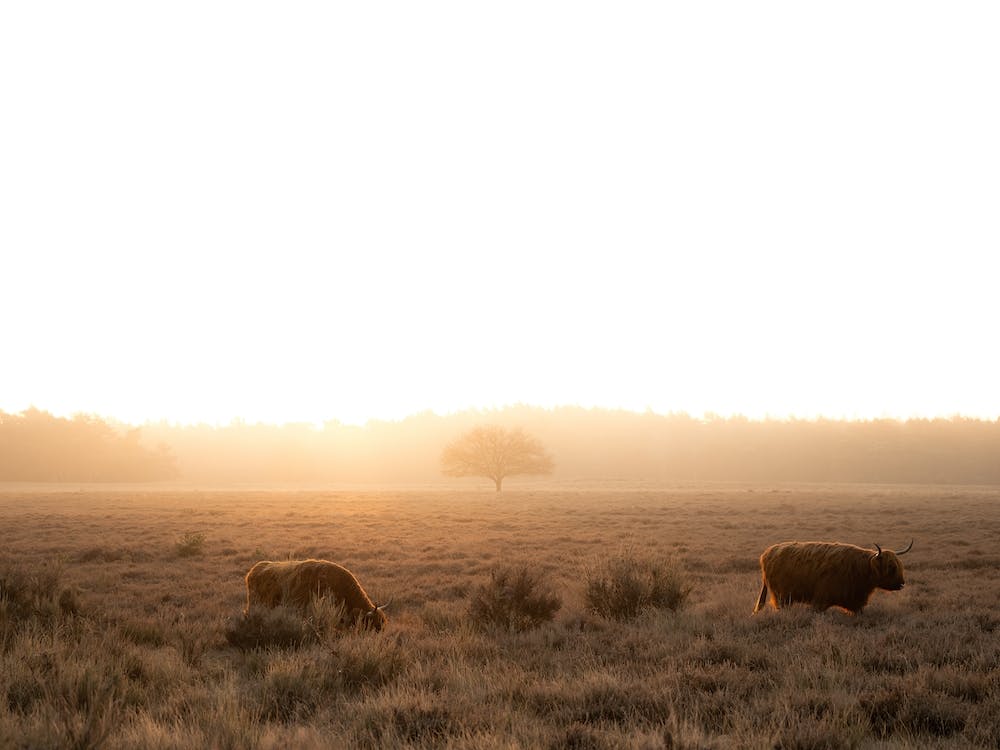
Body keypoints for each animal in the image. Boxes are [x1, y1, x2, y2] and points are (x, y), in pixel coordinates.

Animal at [753, 540, 913, 615]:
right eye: (891, 568)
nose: (902, 584)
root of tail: (767, 553)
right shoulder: (820, 600)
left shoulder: (856, 602)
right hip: (781, 596)